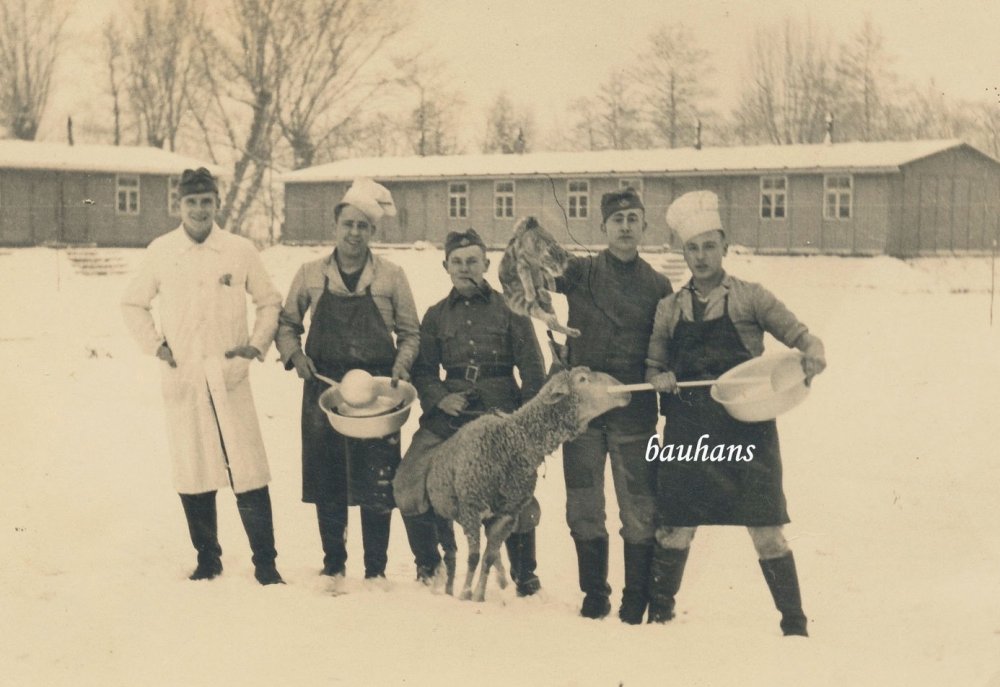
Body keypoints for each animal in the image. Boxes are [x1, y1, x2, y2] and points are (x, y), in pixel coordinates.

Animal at [425, 366, 630, 602]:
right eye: (582, 379)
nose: (625, 390)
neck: (512, 441)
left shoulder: (507, 515)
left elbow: (488, 557)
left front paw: (478, 595)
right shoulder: (471, 507)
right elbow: (475, 557)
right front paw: (465, 594)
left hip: (484, 518)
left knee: (491, 552)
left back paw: (500, 580)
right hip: (445, 513)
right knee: (450, 553)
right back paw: (446, 589)